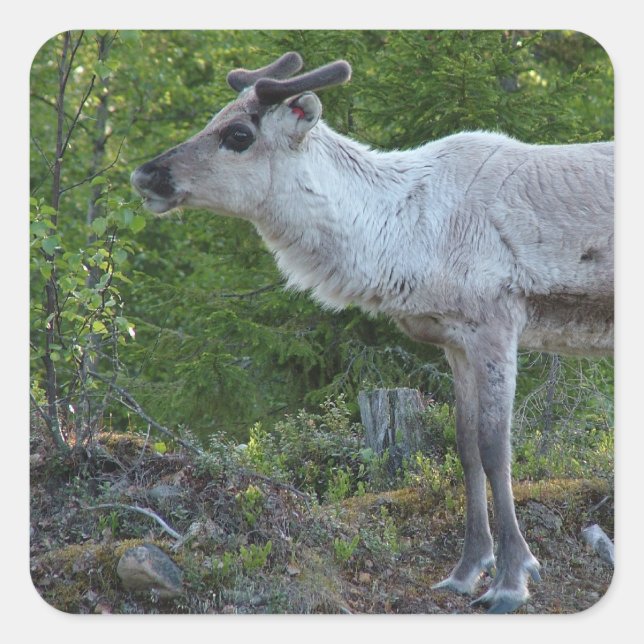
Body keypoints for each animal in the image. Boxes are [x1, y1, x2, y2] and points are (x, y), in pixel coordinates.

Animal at [131, 52, 614, 613]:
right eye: (215, 118)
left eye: (238, 134)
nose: (145, 173)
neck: (402, 233)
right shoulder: (456, 341)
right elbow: (465, 446)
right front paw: (466, 570)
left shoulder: (496, 325)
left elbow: (497, 448)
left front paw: (513, 578)